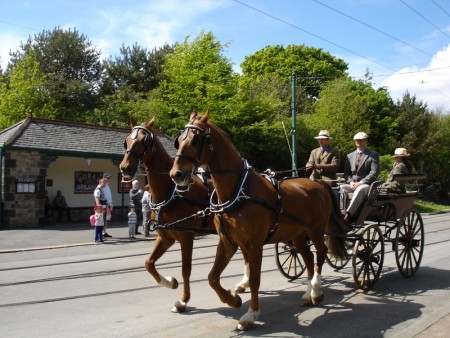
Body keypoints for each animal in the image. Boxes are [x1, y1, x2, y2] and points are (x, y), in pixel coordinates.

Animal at [119, 117, 250, 312]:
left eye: (144, 140)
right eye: (127, 140)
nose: (125, 168)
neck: (171, 192)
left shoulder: (186, 236)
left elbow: (185, 269)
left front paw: (183, 300)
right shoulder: (166, 237)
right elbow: (149, 263)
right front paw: (170, 282)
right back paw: (245, 283)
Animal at [169, 111, 348, 330]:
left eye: (196, 140)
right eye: (179, 140)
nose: (176, 174)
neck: (239, 191)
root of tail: (318, 183)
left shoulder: (254, 245)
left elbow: (255, 279)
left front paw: (251, 314)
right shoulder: (228, 242)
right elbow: (212, 278)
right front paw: (233, 299)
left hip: (315, 230)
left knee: (321, 254)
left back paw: (316, 290)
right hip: (297, 235)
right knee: (308, 257)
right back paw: (307, 294)